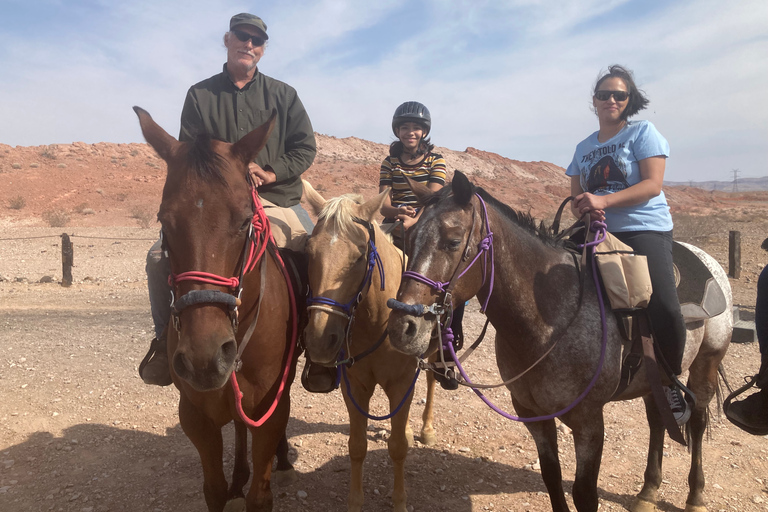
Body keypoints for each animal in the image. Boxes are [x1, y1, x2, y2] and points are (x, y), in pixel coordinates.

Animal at [134, 108, 298, 512]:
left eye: (244, 220)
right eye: (163, 220)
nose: (204, 358)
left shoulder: (270, 412)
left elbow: (260, 496)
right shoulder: (196, 416)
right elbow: (214, 490)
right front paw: (233, 483)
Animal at [304, 181, 438, 512]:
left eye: (359, 257)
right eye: (309, 252)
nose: (319, 340)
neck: (378, 320)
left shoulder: (401, 384)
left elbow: (398, 447)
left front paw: (400, 502)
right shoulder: (355, 386)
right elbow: (357, 446)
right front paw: (355, 502)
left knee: (431, 379)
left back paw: (427, 429)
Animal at [390, 173, 732, 512]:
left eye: (453, 242)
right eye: (408, 239)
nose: (402, 327)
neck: (549, 318)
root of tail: (707, 260)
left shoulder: (588, 421)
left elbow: (584, 493)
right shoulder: (532, 413)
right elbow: (552, 477)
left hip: (706, 363)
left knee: (698, 419)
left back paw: (695, 497)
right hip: (652, 378)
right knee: (657, 419)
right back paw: (647, 493)